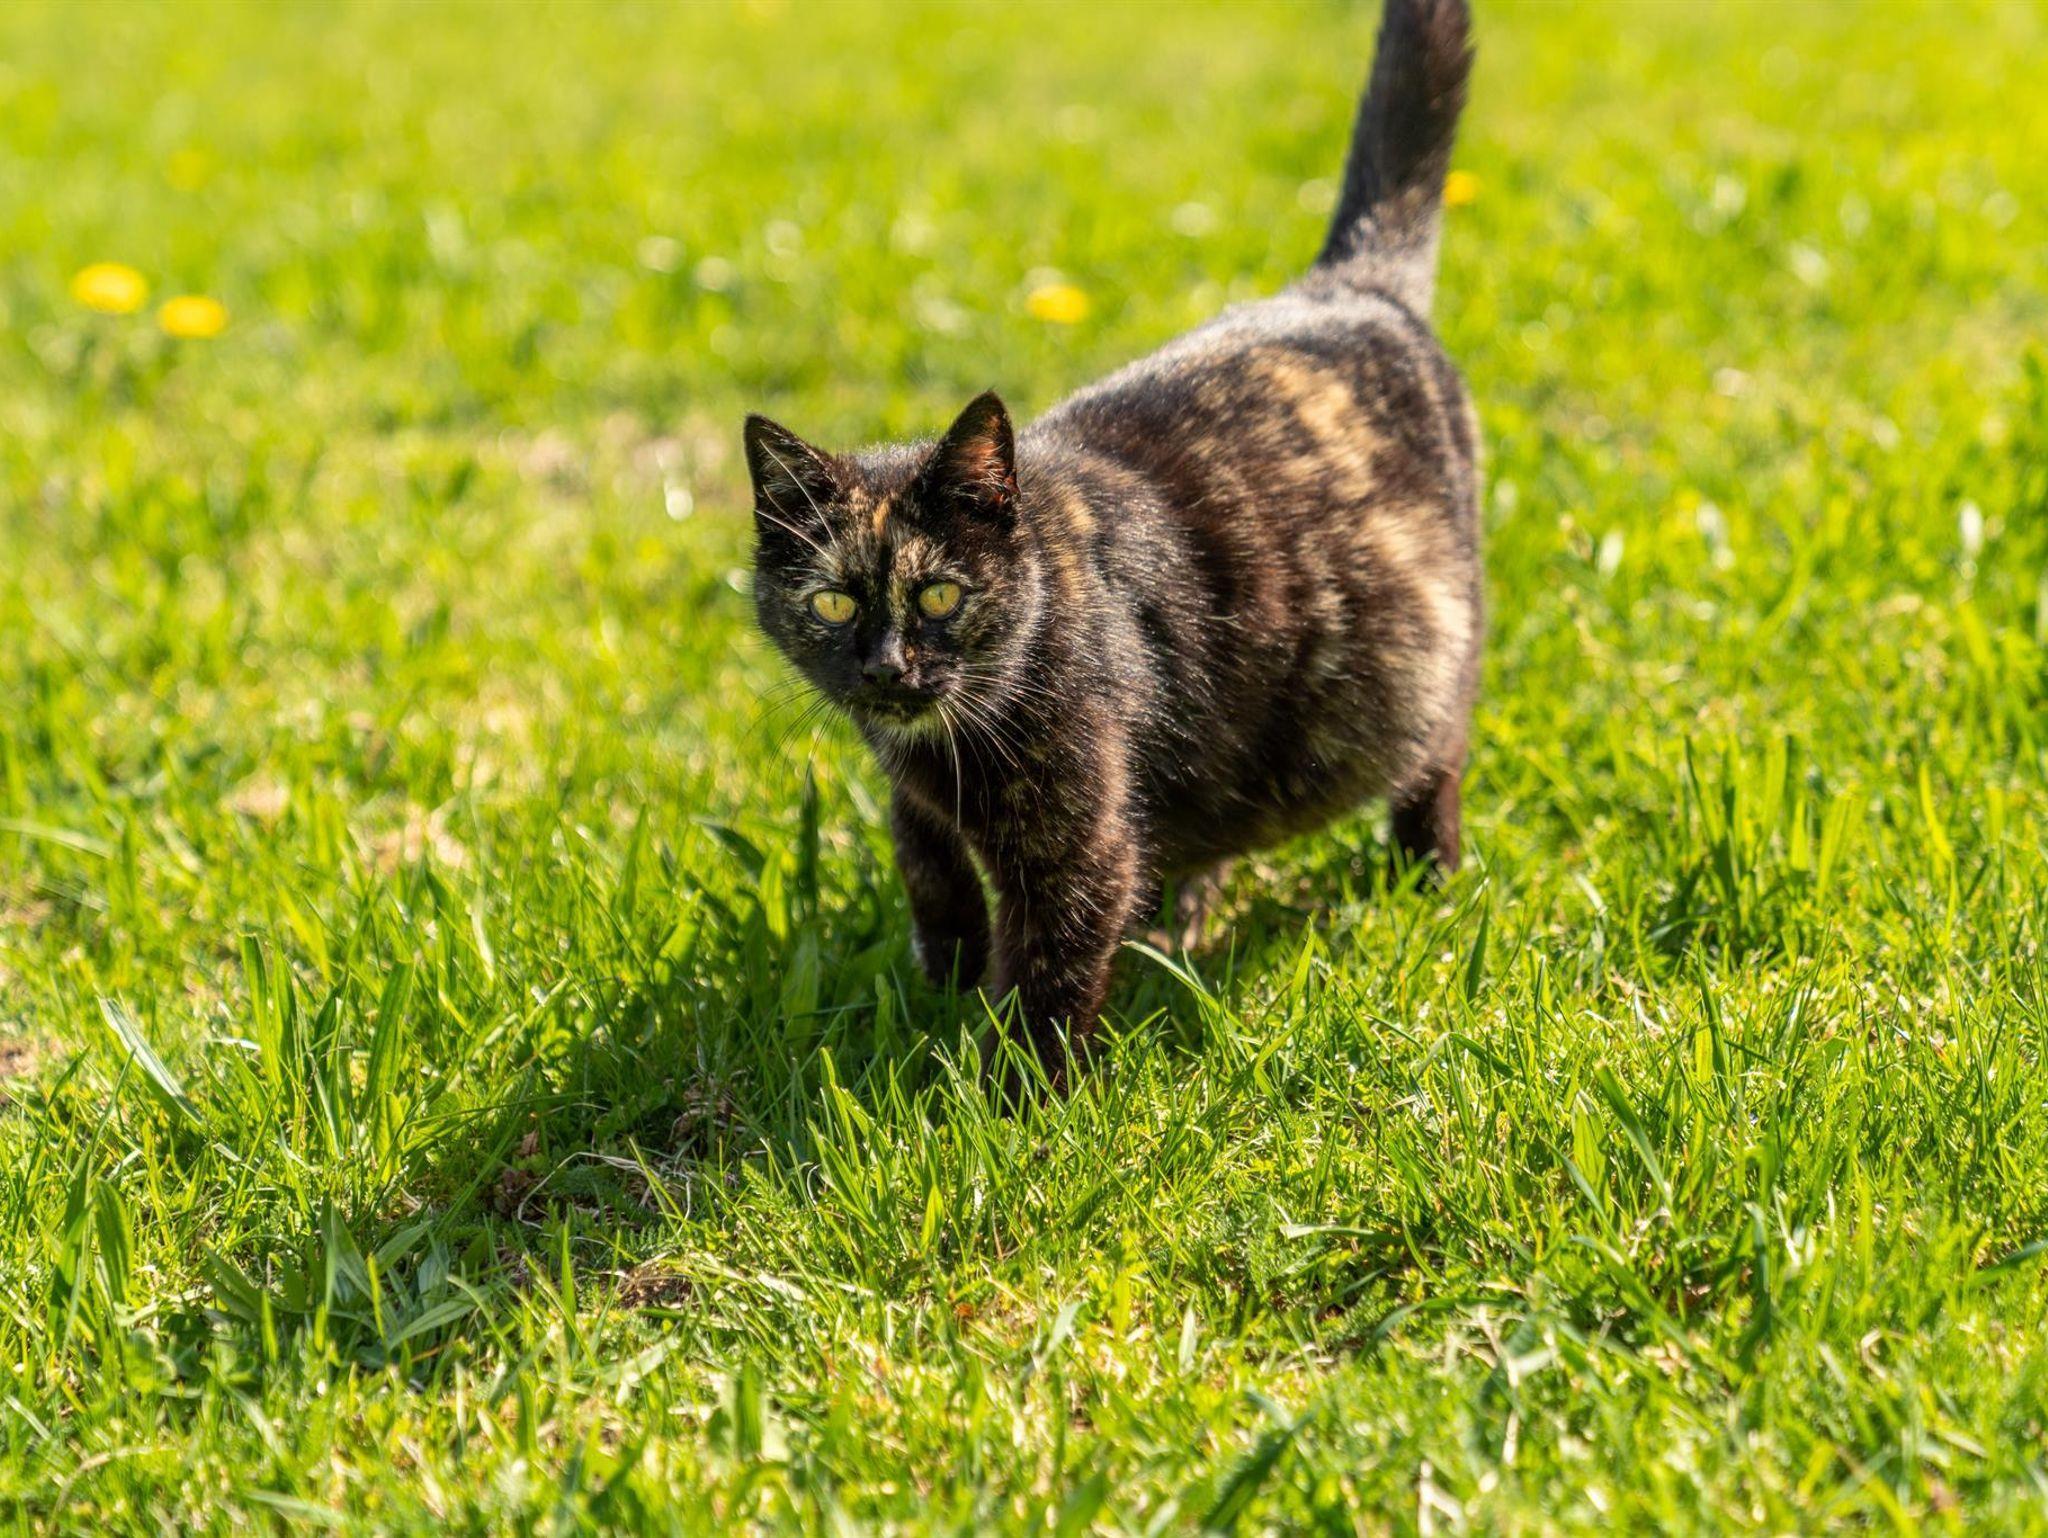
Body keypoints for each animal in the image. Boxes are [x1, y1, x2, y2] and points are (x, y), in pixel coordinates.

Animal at [744, 0, 1480, 1077]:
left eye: (939, 593)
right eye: (833, 602)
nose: (886, 668)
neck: (948, 744)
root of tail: (1350, 287)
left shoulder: (1076, 846)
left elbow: (1046, 978)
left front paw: (1008, 1098)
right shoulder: (916, 799)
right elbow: (929, 872)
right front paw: (942, 982)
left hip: (1427, 669)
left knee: (1433, 763)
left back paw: (1424, 880)